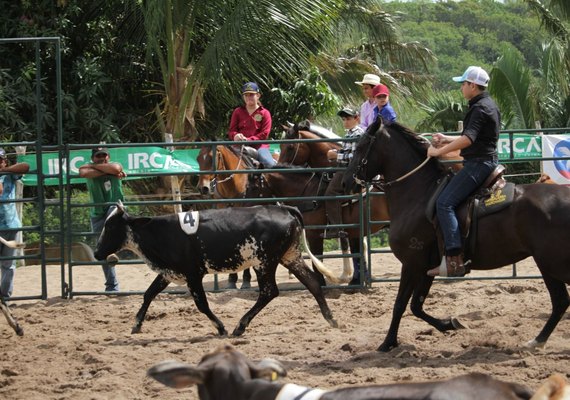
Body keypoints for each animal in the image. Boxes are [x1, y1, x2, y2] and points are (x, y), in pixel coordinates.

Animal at [93, 202, 344, 336]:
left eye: (110, 226)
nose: (96, 253)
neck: (159, 232)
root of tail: (285, 210)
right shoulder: (169, 273)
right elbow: (148, 294)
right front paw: (136, 325)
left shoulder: (193, 274)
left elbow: (202, 305)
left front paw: (221, 327)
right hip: (289, 256)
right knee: (313, 282)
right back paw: (331, 319)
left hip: (264, 262)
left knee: (269, 292)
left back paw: (240, 326)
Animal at [342, 118, 568, 350]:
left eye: (360, 147)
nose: (345, 182)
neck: (418, 195)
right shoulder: (427, 267)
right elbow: (416, 305)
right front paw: (450, 324)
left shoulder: (412, 263)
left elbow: (400, 304)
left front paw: (387, 343)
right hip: (548, 264)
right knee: (561, 301)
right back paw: (537, 341)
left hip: (551, 263)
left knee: (560, 300)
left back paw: (537, 341)